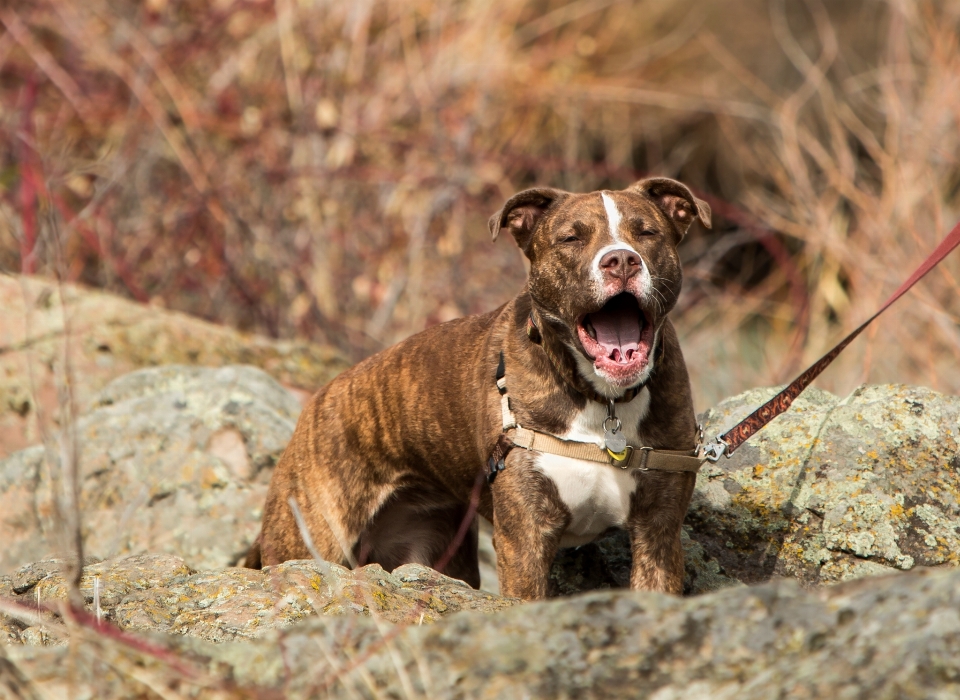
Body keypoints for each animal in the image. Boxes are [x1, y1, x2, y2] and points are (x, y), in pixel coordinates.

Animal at [246, 178, 712, 600]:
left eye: (646, 232)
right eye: (571, 238)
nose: (621, 260)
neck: (605, 401)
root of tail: (316, 402)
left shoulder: (657, 532)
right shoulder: (524, 538)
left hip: (437, 550)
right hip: (310, 536)